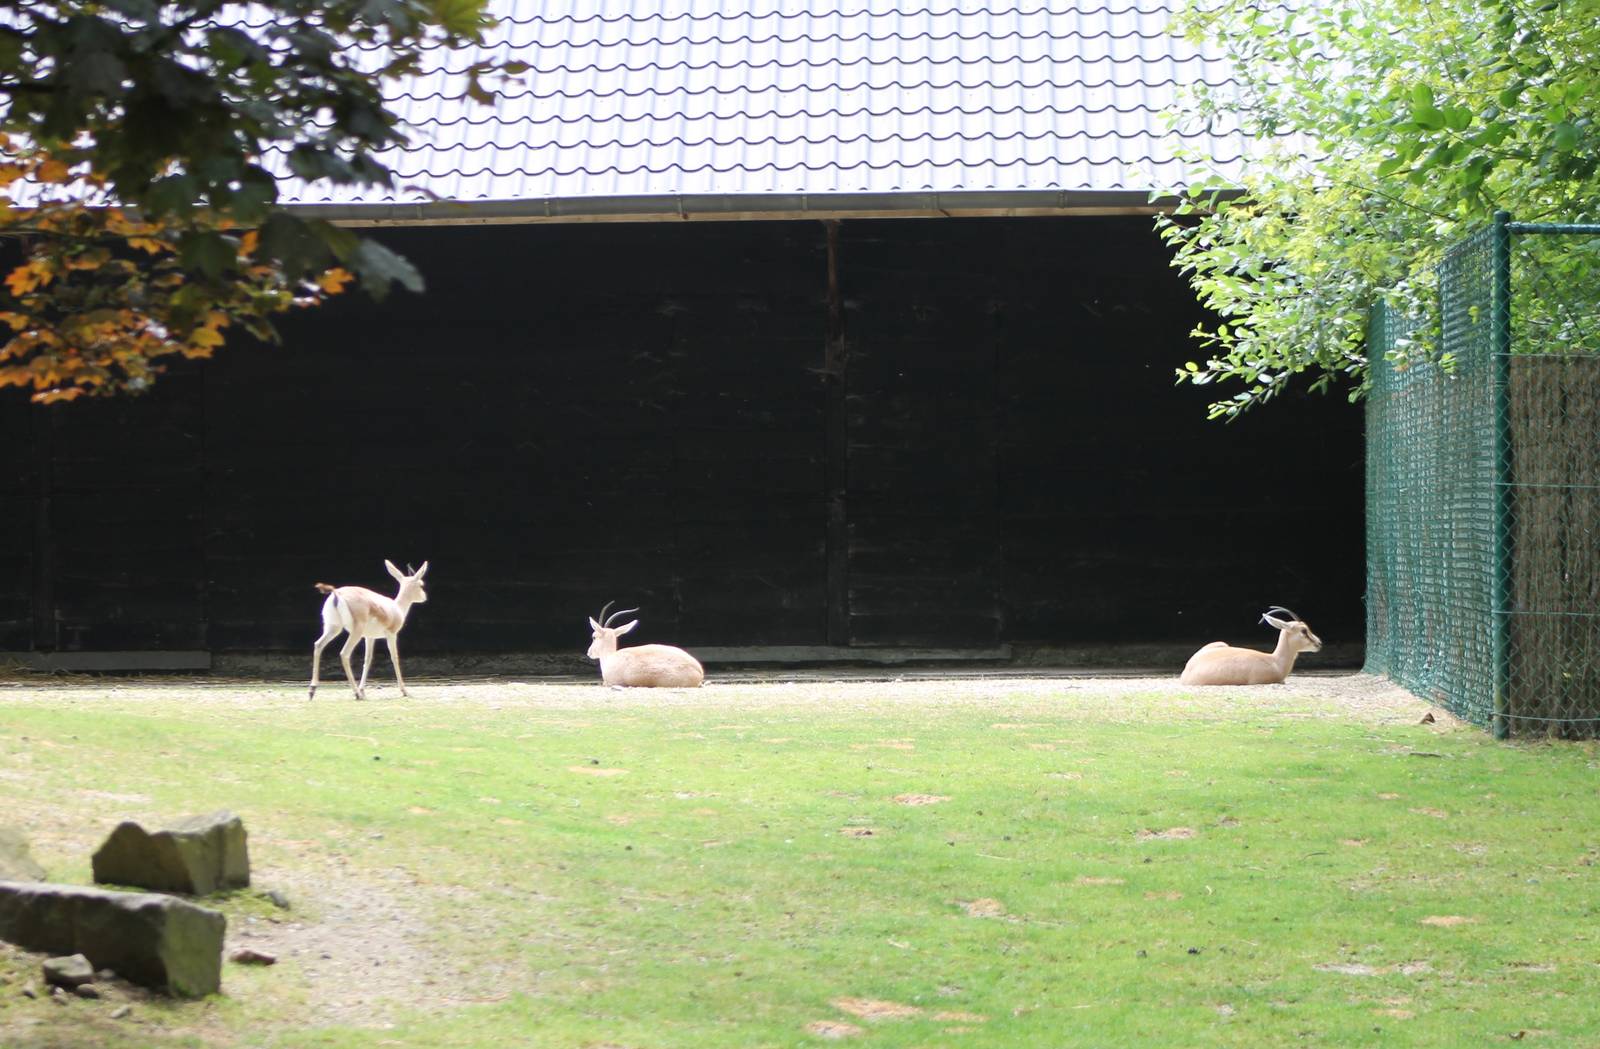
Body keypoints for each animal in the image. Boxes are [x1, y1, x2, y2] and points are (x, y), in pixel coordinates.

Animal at [308, 560, 429, 700]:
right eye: (421, 584)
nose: (425, 597)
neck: (397, 608)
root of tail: (337, 594)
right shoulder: (391, 634)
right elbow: (394, 657)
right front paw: (404, 691)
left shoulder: (369, 637)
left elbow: (368, 659)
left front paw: (363, 690)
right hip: (355, 631)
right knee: (344, 653)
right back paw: (356, 693)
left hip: (333, 628)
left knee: (318, 645)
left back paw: (312, 690)